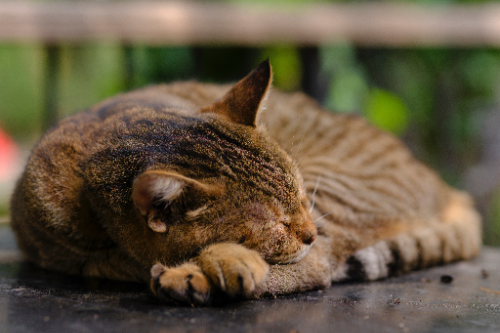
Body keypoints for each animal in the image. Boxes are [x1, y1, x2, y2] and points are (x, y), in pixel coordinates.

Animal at [10, 59, 480, 304]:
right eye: (276, 222)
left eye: (302, 197)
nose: (309, 231)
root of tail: (451, 191)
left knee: (318, 266)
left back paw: (201, 275)